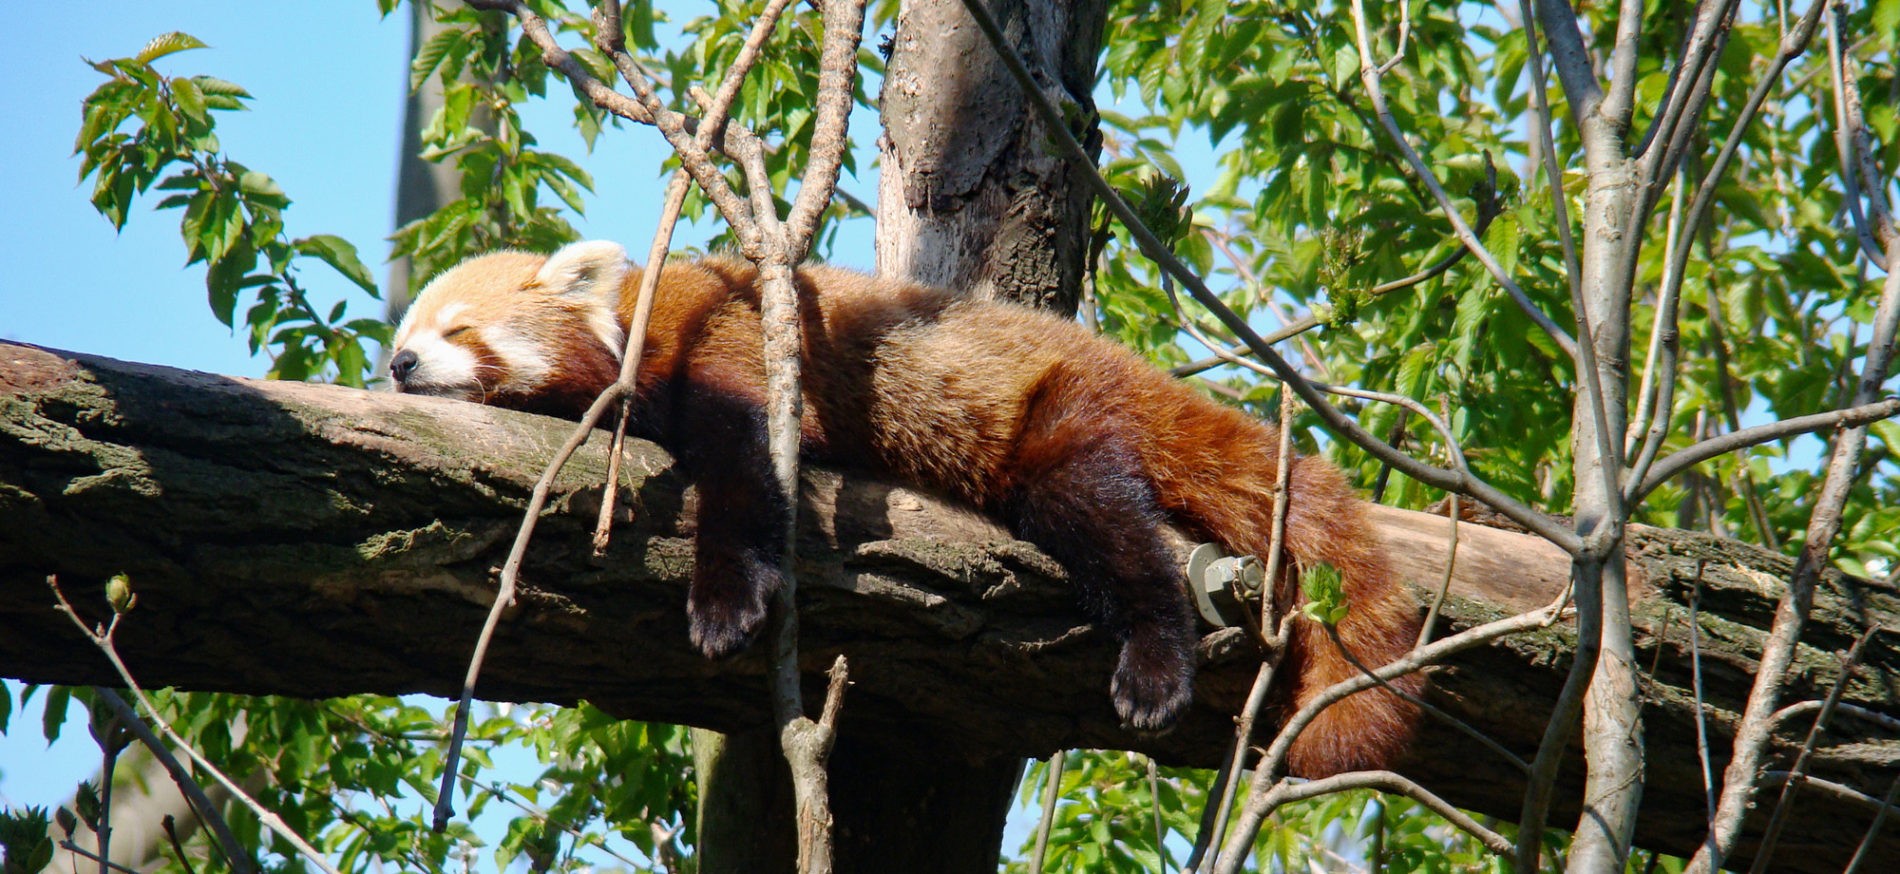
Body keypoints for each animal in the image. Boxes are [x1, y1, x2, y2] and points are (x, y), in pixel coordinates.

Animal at [389, 240, 1428, 779]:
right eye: (406, 331)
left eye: (458, 330)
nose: (397, 364)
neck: (636, 314)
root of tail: (1118, 361)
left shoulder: (725, 341)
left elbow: (749, 474)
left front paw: (725, 607)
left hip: (1055, 420)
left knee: (1113, 530)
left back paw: (1153, 660)